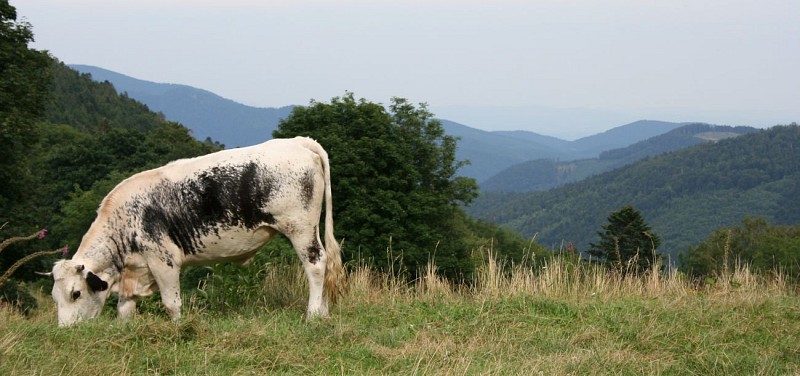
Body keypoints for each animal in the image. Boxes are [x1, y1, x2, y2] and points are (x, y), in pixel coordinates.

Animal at [44, 137, 344, 326]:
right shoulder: (136, 269)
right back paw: (325, 314)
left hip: (300, 228)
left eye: (75, 293)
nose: (66, 331)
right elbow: (125, 309)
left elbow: (171, 303)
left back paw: (313, 315)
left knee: (316, 265)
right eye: (55, 296)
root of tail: (298, 141)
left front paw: (177, 328)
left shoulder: (163, 260)